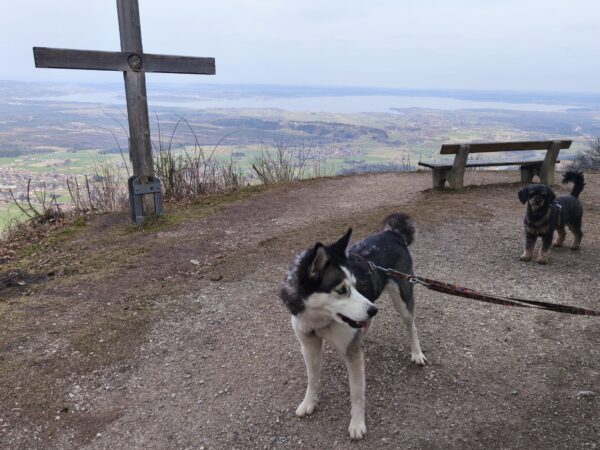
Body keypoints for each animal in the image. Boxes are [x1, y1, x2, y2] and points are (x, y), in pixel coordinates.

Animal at [279, 213, 426, 440]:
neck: (319, 319)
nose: (374, 309)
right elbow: (312, 379)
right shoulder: (309, 344)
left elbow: (356, 392)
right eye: (341, 290)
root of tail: (391, 233)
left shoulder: (352, 353)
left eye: (356, 286)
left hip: (402, 300)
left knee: (412, 326)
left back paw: (416, 352)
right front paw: (309, 402)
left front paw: (357, 423)